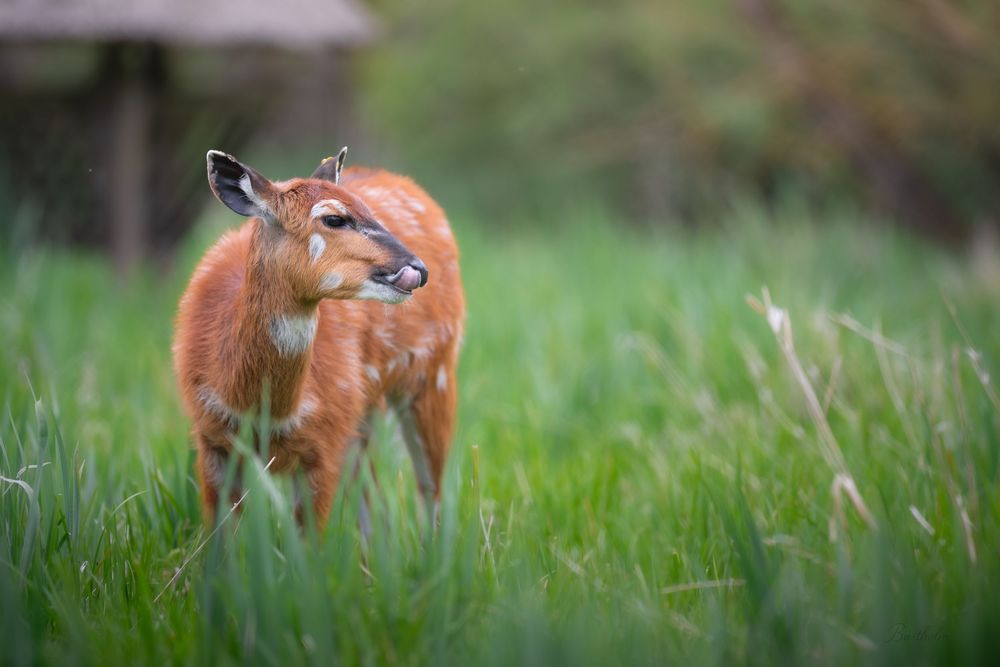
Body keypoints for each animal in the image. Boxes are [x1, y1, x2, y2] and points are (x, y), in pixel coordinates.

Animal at [172, 148, 465, 528]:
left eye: (367, 209)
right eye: (334, 219)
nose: (418, 268)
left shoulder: (324, 441)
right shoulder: (211, 439)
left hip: (435, 370)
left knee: (430, 492)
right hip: (365, 412)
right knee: (374, 503)